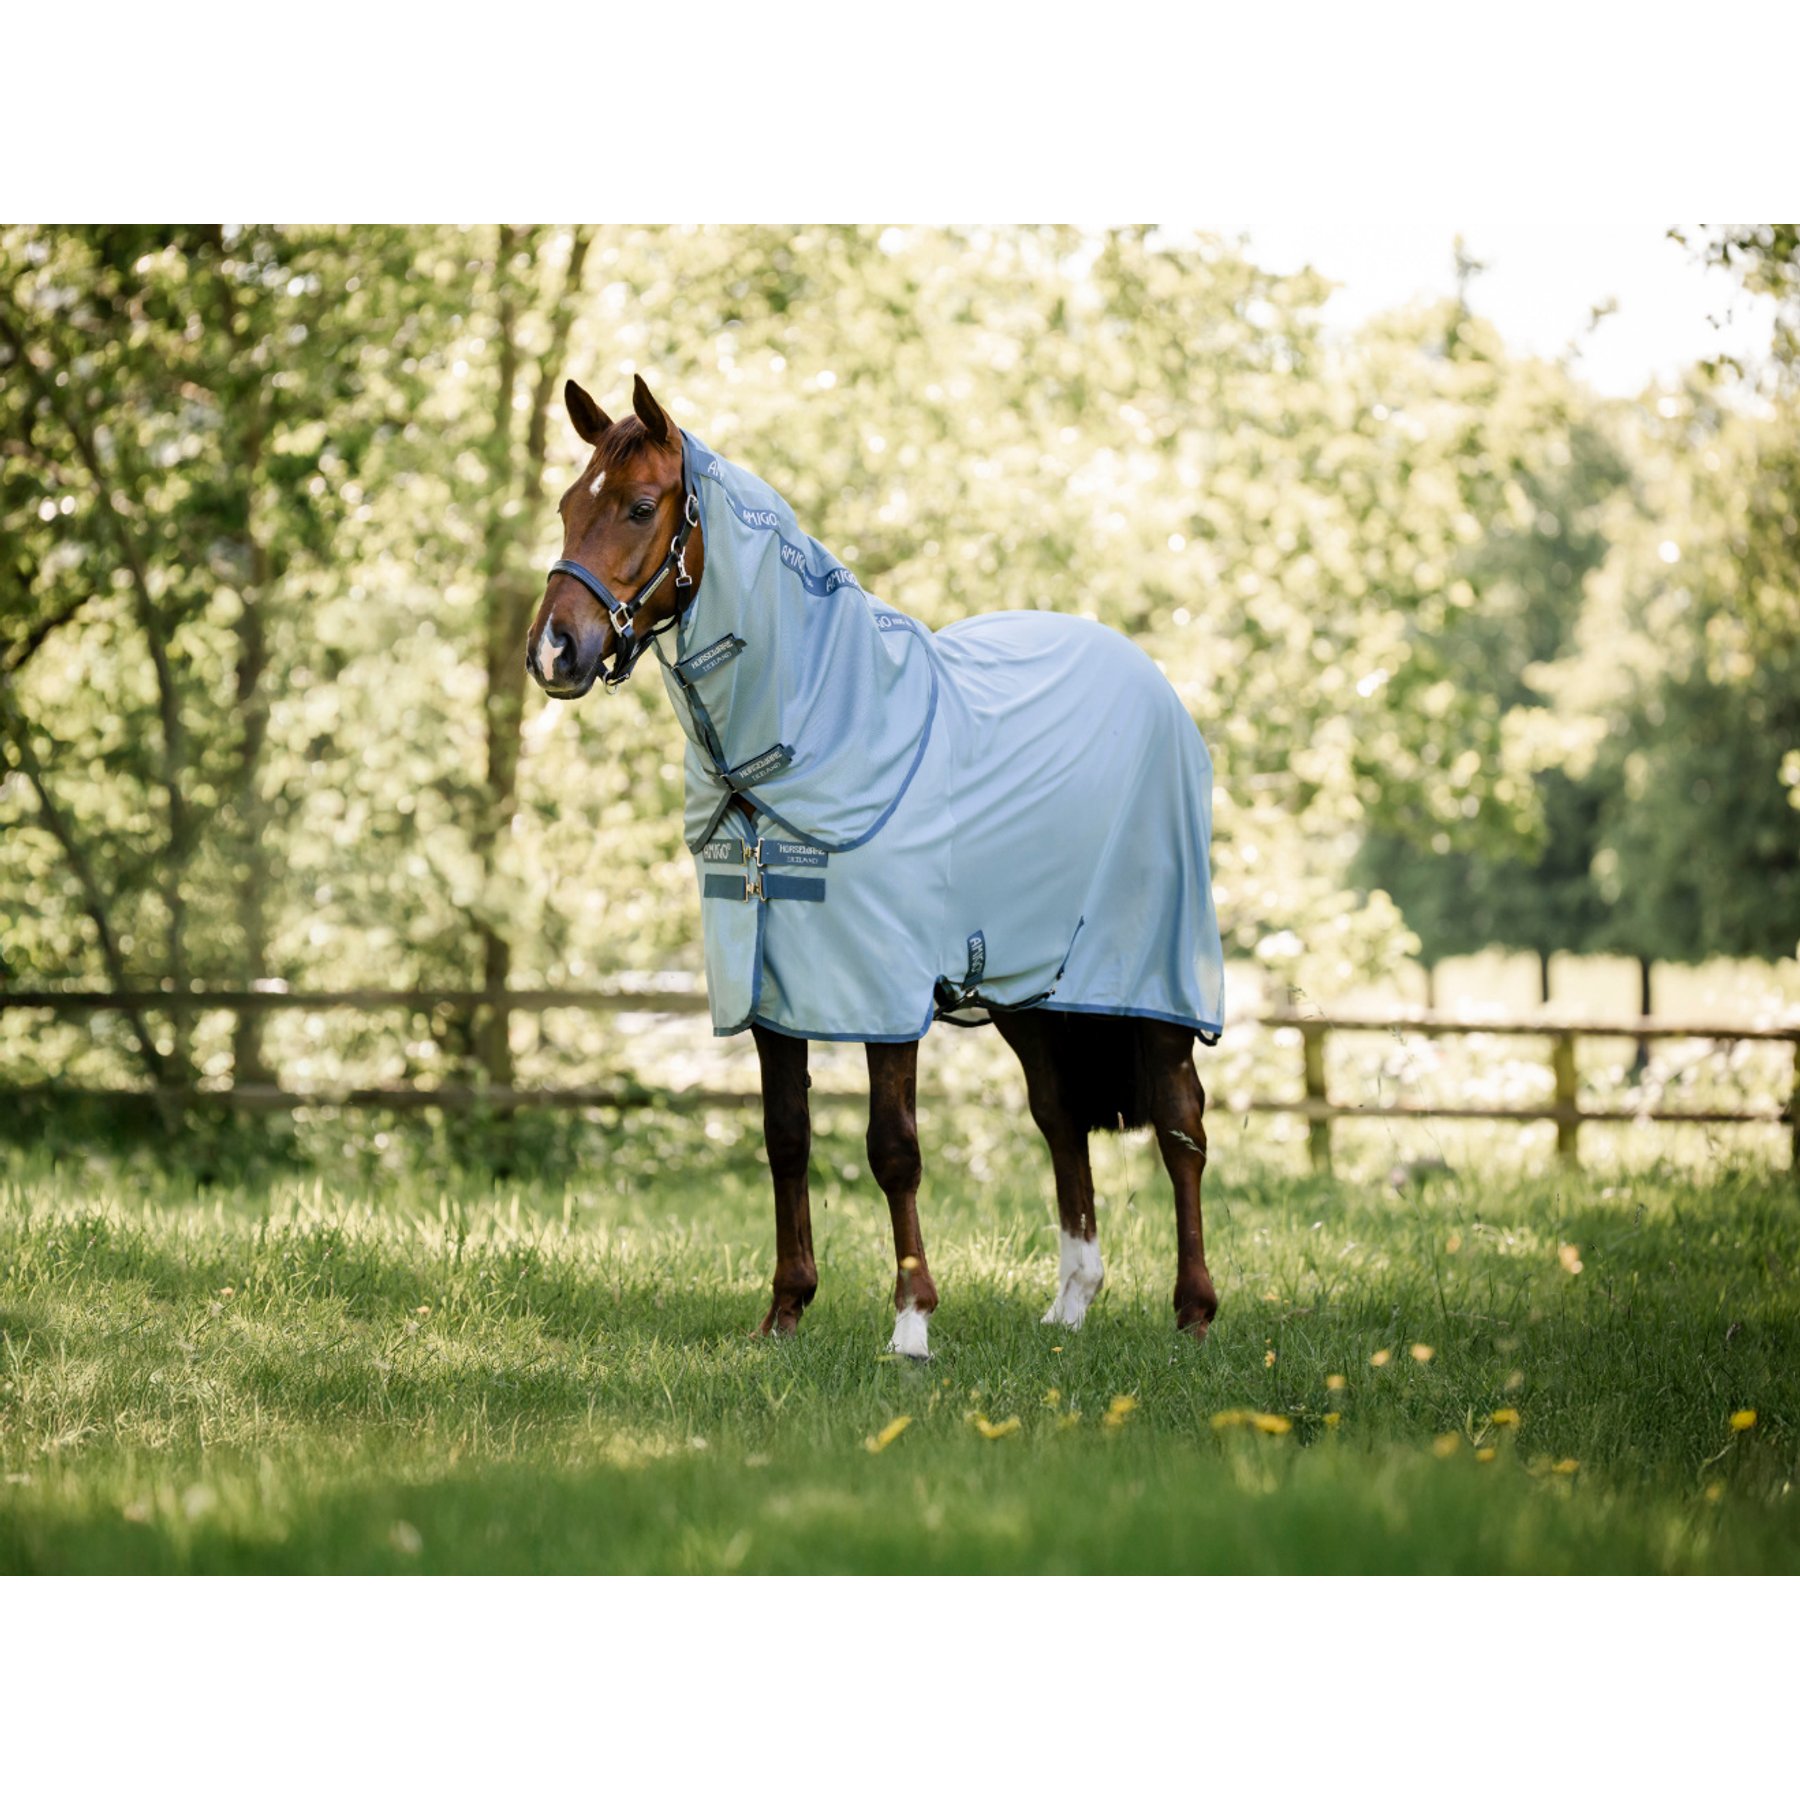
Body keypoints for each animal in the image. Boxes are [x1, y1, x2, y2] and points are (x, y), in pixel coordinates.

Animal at [526, 375, 1226, 1359]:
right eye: (564, 505)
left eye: (637, 506)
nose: (554, 651)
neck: (824, 726)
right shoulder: (769, 987)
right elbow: (786, 1135)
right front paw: (785, 1311)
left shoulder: (884, 992)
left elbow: (893, 1146)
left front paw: (911, 1324)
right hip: (1029, 989)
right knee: (1060, 1117)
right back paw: (1071, 1303)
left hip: (1155, 976)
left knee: (1180, 1122)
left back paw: (1194, 1310)